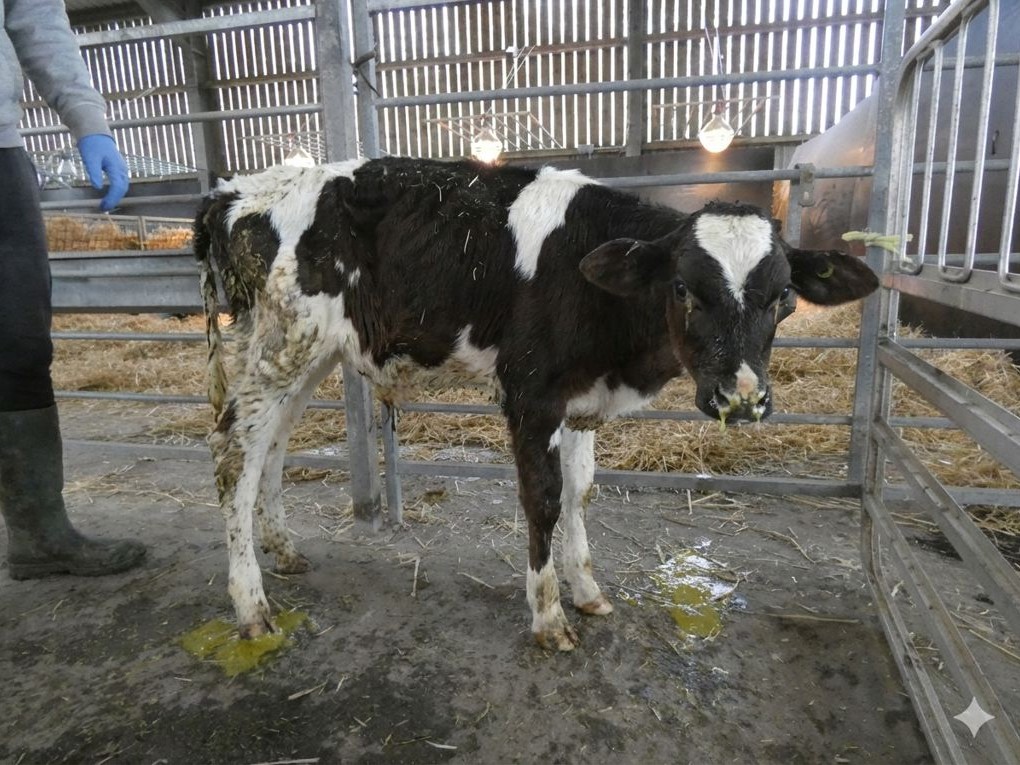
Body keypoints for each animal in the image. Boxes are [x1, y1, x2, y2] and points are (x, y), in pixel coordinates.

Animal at [194, 156, 878, 651]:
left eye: (784, 296)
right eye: (684, 287)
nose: (742, 397)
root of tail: (232, 191)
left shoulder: (581, 397)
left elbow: (580, 492)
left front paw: (588, 590)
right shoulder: (531, 392)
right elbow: (544, 499)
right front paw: (549, 617)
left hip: (304, 355)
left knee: (271, 445)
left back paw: (284, 552)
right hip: (283, 345)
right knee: (234, 452)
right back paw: (251, 606)